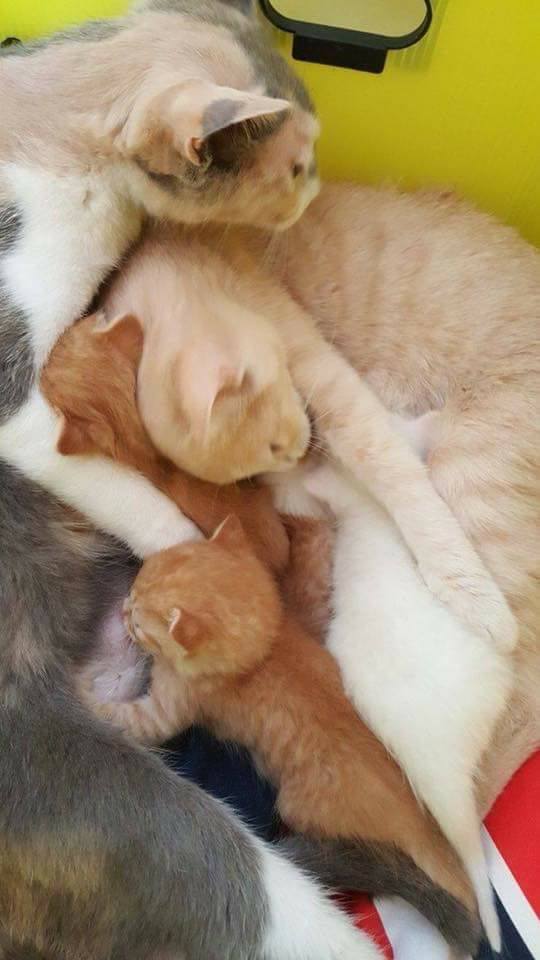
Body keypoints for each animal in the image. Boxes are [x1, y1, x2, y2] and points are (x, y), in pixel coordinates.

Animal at [96, 218, 517, 651]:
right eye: (255, 470)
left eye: (275, 445)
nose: (301, 455)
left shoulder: (321, 370)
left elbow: (392, 471)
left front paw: (468, 587)